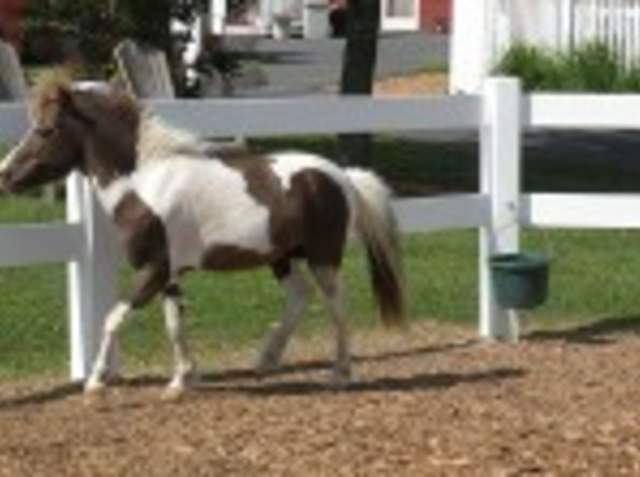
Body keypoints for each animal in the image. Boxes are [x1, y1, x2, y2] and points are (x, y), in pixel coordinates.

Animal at [0, 72, 406, 399]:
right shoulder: (169, 275)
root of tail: (342, 176)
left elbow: (114, 317)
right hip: (282, 257)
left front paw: (96, 382)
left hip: (323, 258)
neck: (144, 183)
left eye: (45, 129)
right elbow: (175, 324)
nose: (5, 174)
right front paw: (181, 381)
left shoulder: (153, 269)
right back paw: (266, 359)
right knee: (299, 297)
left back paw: (340, 373)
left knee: (337, 305)